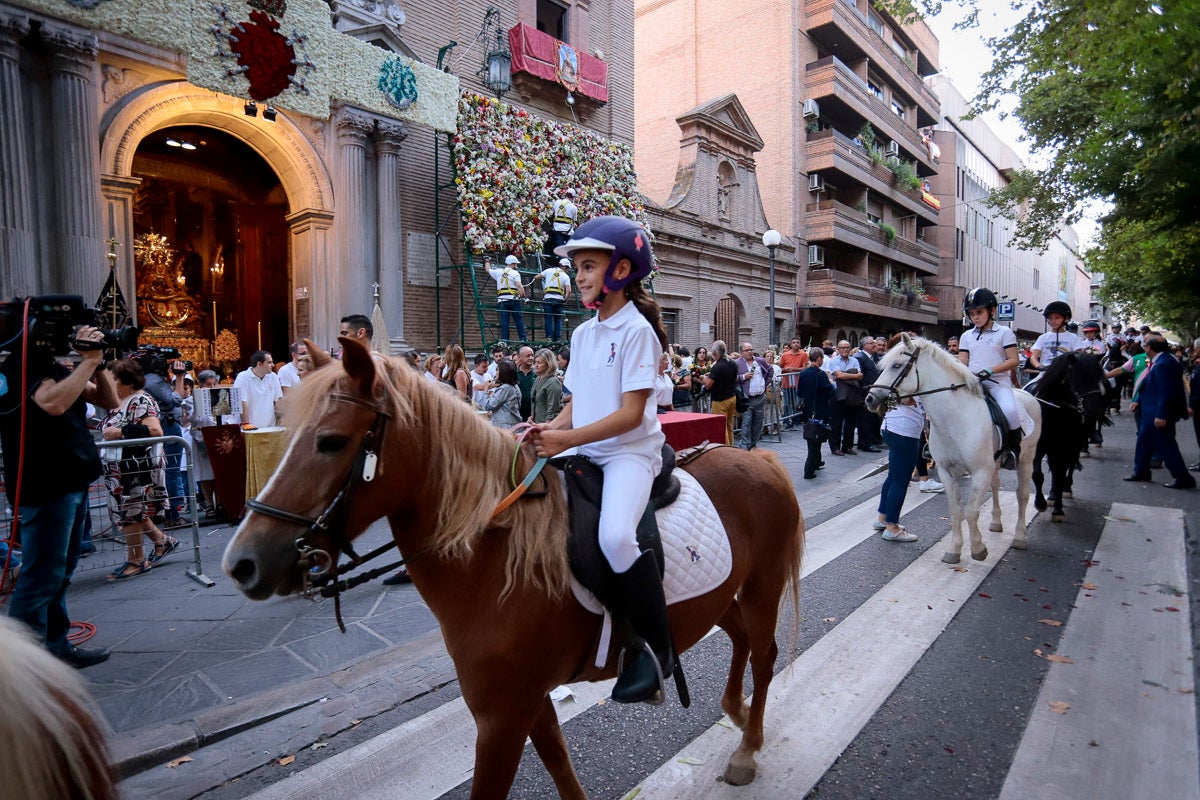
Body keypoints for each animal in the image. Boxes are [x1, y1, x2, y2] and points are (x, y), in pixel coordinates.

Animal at [225, 335, 806, 796]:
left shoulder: (501, 715)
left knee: (765, 653)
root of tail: (758, 457)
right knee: (739, 639)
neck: (495, 555)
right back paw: (735, 712)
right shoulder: (525, 701)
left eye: (331, 441)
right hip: (716, 599)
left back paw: (747, 748)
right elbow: (561, 767)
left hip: (760, 587)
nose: (242, 563)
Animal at [864, 335, 1041, 566]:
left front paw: (978, 548)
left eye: (896, 365)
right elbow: (956, 511)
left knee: (1022, 495)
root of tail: (1027, 394)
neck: (954, 419)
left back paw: (1020, 537)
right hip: (995, 463)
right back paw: (995, 523)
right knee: (996, 486)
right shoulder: (947, 472)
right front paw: (954, 550)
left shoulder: (980, 471)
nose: (870, 399)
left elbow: (971, 511)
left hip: (1027, 459)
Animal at [1027, 352, 1108, 522]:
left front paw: (1058, 510)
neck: (1055, 411)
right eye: (1077, 376)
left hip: (1072, 446)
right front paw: (1040, 503)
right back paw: (1051, 496)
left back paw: (1066, 489)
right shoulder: (1038, 448)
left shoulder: (1065, 447)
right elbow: (1038, 475)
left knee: (1067, 467)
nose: (1096, 410)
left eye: (1098, 377)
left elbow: (1060, 475)